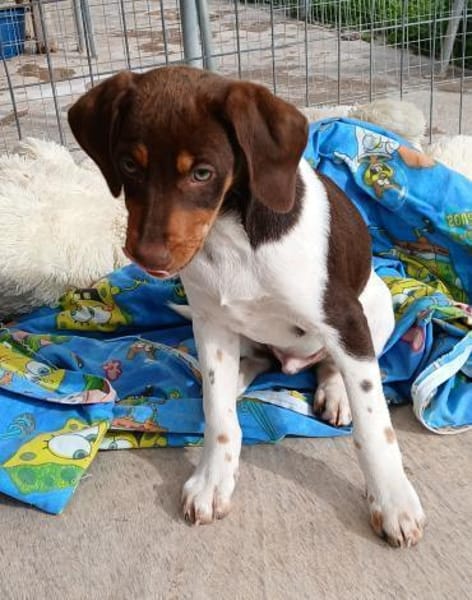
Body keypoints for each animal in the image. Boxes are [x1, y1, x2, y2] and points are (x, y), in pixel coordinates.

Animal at [68, 65, 425, 547]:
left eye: (203, 173)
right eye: (128, 164)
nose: (147, 258)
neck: (228, 231)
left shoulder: (345, 319)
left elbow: (375, 427)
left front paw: (393, 501)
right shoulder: (211, 322)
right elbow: (219, 417)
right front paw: (212, 479)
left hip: (376, 305)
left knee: (333, 364)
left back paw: (335, 392)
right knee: (253, 365)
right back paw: (236, 382)